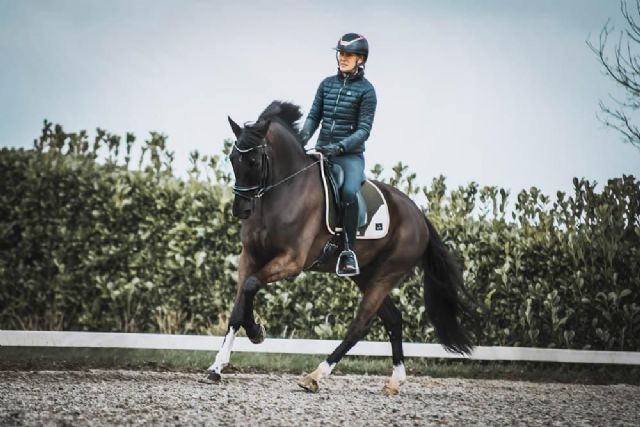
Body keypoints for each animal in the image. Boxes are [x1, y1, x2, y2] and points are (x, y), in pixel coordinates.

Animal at [205, 101, 474, 394]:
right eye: (233, 158)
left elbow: (252, 286)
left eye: (253, 161)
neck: (284, 191)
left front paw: (256, 333)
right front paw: (217, 367)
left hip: (388, 273)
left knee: (360, 325)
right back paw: (395, 381)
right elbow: (239, 305)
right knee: (393, 319)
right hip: (366, 274)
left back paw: (315, 375)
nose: (241, 209)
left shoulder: (291, 261)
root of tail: (418, 214)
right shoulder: (250, 257)